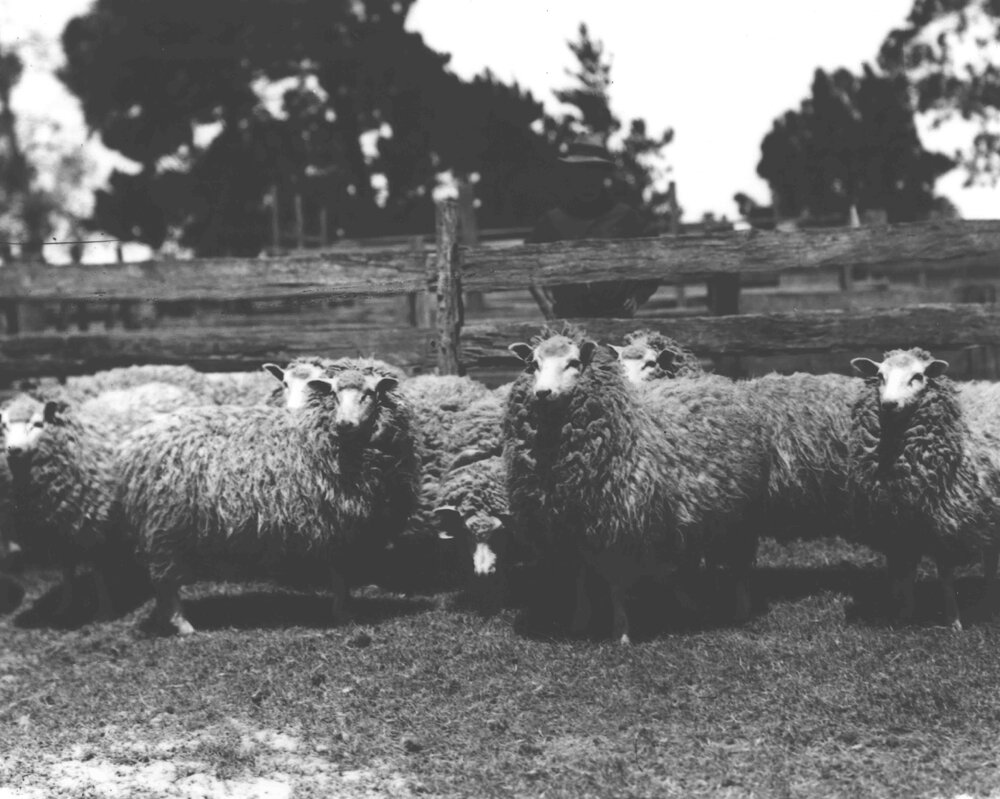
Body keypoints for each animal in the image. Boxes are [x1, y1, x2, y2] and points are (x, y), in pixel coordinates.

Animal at [113, 364, 420, 635]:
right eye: (333, 394)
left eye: (369, 393)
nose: (344, 423)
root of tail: (136, 442)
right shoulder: (336, 523)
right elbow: (340, 574)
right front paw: (343, 613)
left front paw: (346, 609)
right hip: (164, 526)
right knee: (164, 582)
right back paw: (183, 626)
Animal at [503, 327, 769, 643]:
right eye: (533, 364)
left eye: (573, 362)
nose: (542, 393)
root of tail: (717, 380)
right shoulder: (568, 526)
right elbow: (580, 578)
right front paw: (579, 622)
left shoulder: (620, 524)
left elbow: (616, 585)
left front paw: (621, 632)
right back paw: (690, 603)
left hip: (742, 514)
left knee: (738, 564)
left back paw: (739, 608)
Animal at [848, 348, 1000, 630]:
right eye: (879, 376)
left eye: (918, 376)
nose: (889, 404)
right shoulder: (901, 525)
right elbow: (906, 574)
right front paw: (904, 615)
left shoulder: (944, 523)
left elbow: (946, 576)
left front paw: (954, 621)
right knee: (990, 556)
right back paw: (988, 598)